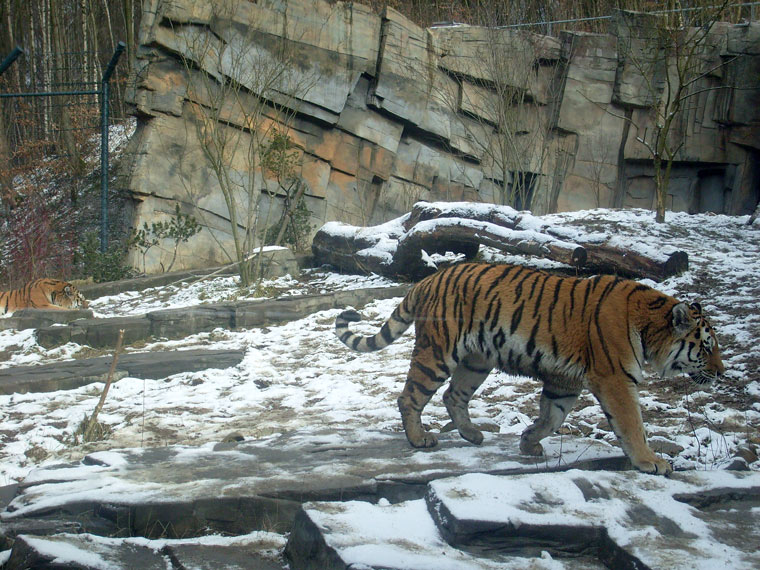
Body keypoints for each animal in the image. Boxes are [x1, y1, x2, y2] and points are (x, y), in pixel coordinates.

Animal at [334, 262, 724, 474]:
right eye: (707, 347)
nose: (721, 373)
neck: (650, 324)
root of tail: (429, 280)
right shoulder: (616, 379)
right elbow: (632, 425)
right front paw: (650, 462)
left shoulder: (565, 380)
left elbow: (552, 416)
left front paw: (528, 442)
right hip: (438, 352)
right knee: (411, 396)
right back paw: (419, 439)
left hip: (477, 360)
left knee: (453, 395)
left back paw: (472, 434)